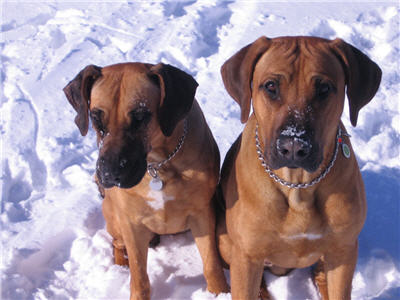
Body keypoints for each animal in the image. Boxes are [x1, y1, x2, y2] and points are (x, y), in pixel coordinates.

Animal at [64, 62, 230, 298]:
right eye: (96, 118)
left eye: (141, 116)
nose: (108, 173)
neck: (158, 165)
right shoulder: (131, 224)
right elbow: (139, 276)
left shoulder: (202, 213)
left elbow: (211, 263)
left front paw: (220, 292)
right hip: (115, 219)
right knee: (117, 244)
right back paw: (120, 266)